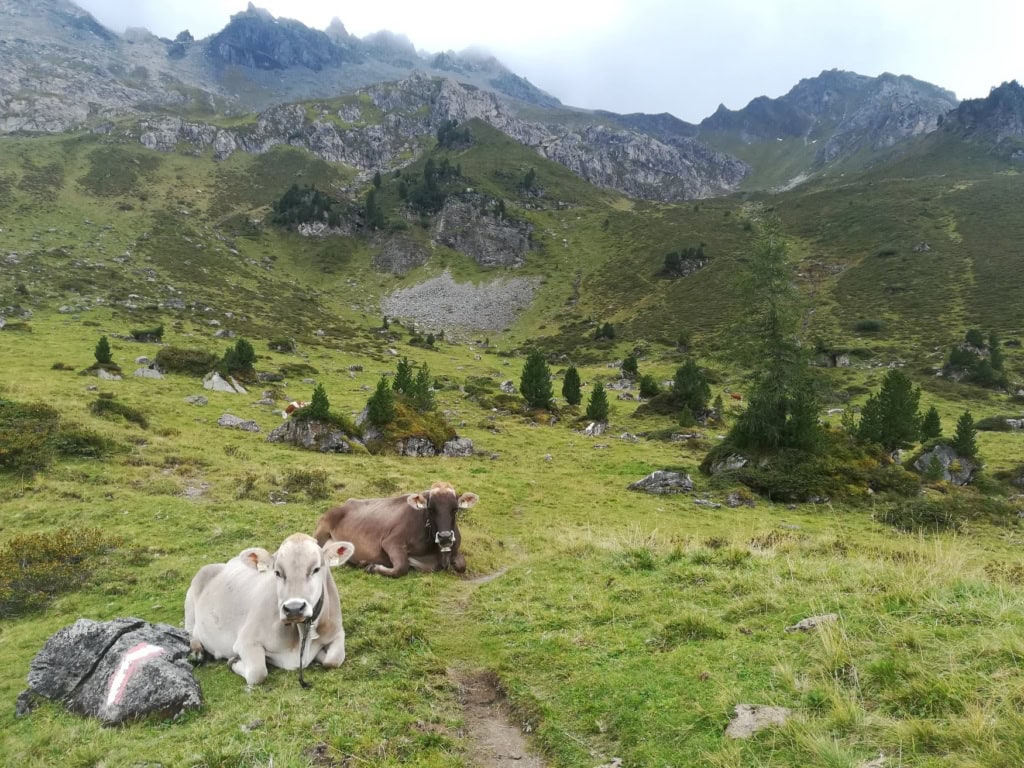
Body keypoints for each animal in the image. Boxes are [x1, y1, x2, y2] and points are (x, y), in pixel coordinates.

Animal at [184, 533, 354, 687]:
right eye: (277, 572)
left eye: (316, 569)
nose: (294, 608)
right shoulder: (246, 641)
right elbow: (257, 673)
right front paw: (233, 661)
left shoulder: (338, 631)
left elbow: (333, 660)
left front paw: (321, 654)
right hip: (191, 603)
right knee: (191, 633)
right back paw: (197, 652)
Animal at [315, 481, 479, 578]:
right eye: (431, 509)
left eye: (455, 509)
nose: (445, 537)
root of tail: (346, 502)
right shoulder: (391, 541)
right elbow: (401, 567)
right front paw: (372, 567)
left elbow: (462, 565)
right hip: (321, 530)